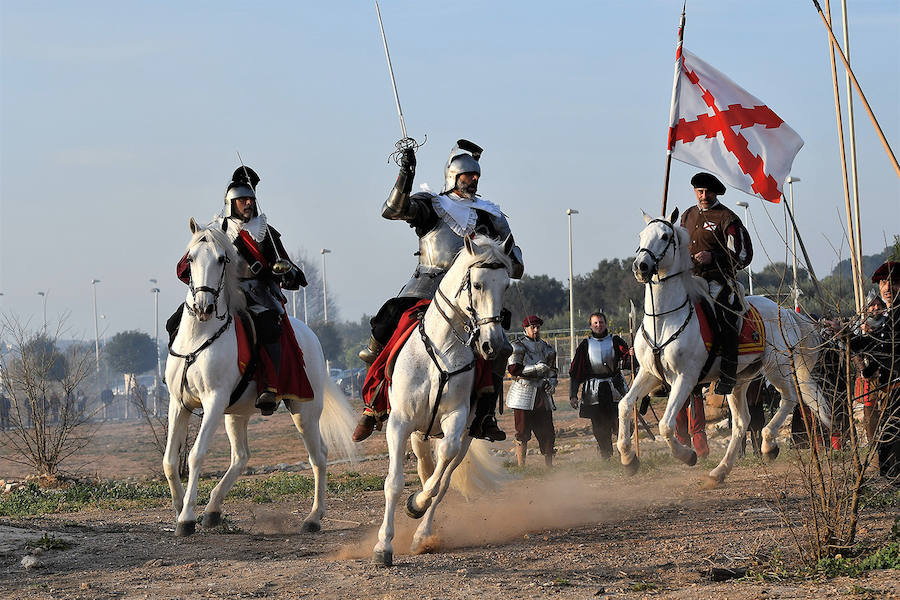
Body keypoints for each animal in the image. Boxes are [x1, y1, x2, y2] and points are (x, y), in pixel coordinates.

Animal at [163, 219, 356, 536]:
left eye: (222, 259)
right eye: (190, 259)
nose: (203, 307)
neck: (200, 336)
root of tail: (310, 334)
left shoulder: (214, 401)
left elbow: (195, 454)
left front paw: (187, 517)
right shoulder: (178, 403)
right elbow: (169, 460)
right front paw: (180, 508)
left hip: (304, 410)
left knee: (319, 455)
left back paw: (313, 518)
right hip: (236, 414)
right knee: (241, 456)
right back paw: (213, 510)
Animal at [370, 234, 512, 568]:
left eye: (506, 285)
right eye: (477, 285)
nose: (495, 346)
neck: (442, 349)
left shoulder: (456, 420)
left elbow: (440, 475)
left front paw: (416, 505)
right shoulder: (399, 423)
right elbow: (394, 482)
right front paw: (383, 545)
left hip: (462, 436)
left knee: (441, 478)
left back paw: (422, 532)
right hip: (418, 433)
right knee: (424, 467)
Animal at [620, 210, 828, 482]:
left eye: (665, 236)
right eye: (641, 235)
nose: (640, 266)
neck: (664, 318)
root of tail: (785, 312)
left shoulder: (685, 377)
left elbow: (665, 425)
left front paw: (688, 455)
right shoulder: (649, 373)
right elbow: (625, 405)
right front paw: (628, 458)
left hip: (778, 368)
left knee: (790, 399)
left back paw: (768, 445)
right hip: (739, 380)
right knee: (741, 422)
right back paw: (720, 471)